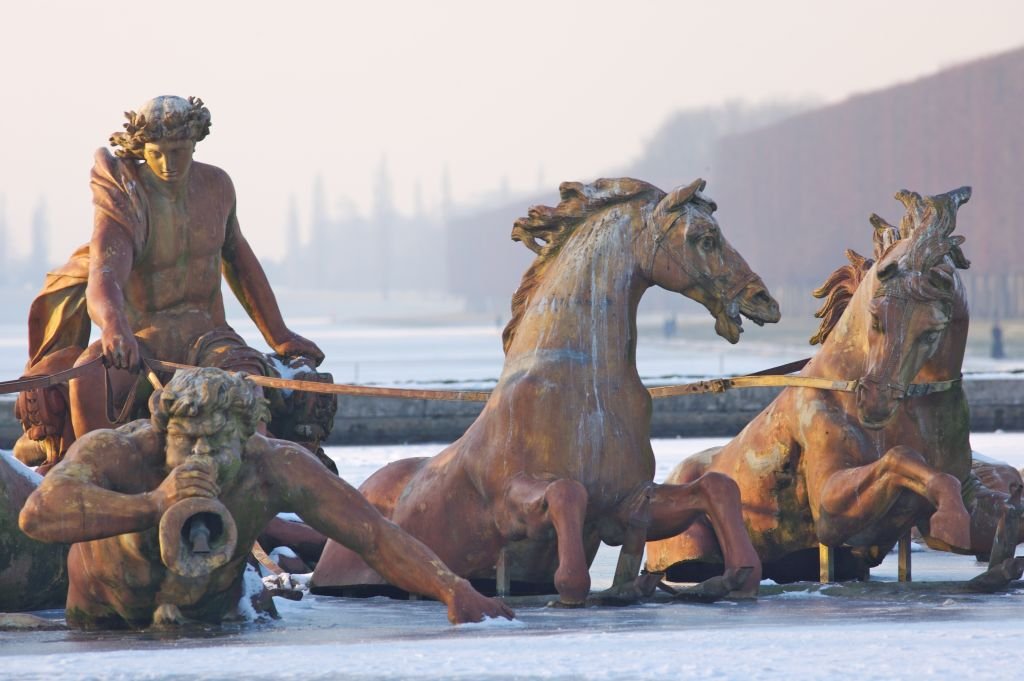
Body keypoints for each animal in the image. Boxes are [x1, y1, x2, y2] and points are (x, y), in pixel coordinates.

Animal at [309, 178, 774, 602]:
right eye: (705, 238)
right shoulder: (510, 506)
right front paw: (572, 588)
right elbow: (567, 493)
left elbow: (716, 487)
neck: (586, 388)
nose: (764, 300)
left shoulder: (629, 503)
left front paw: (733, 576)